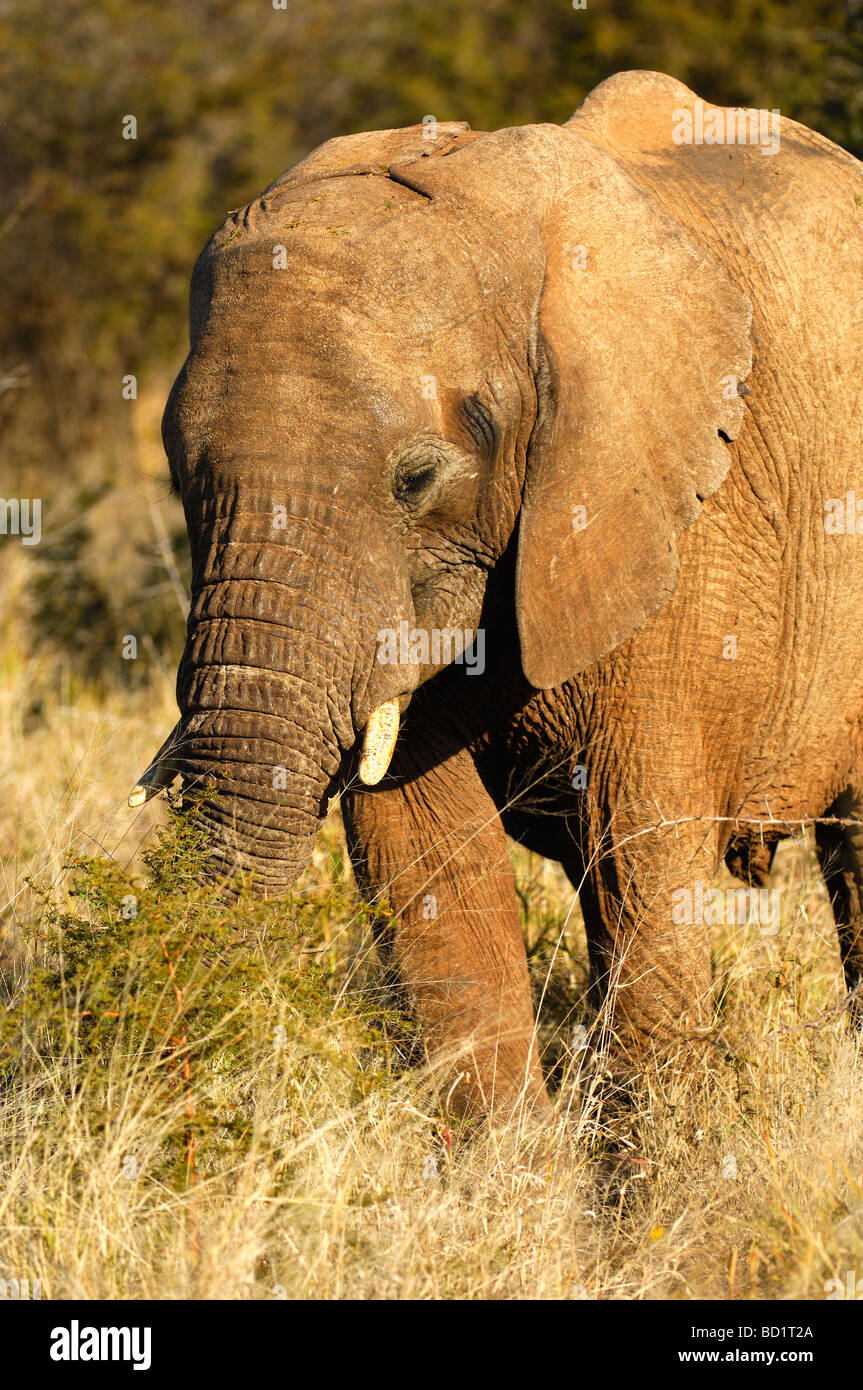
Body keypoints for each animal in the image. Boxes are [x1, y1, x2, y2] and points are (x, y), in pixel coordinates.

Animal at [129, 73, 861, 1117]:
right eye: (182, 478)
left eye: (417, 479)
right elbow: (424, 862)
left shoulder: (666, 530)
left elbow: (636, 858)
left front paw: (660, 1171)